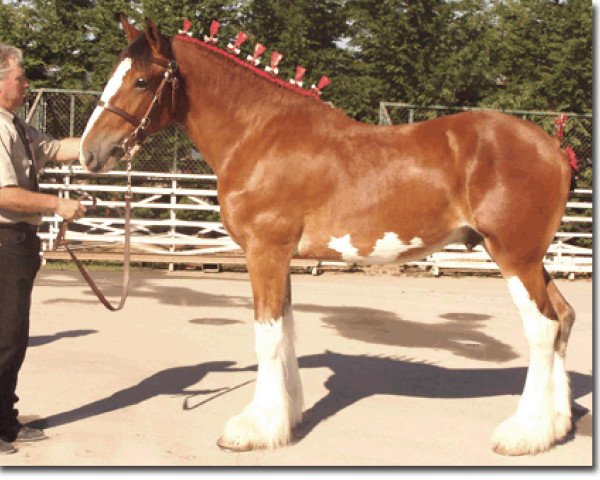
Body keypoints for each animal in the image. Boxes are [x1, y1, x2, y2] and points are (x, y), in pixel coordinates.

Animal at [79, 16, 576, 456]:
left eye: (141, 81)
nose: (89, 153)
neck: (258, 135)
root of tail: (553, 148)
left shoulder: (264, 252)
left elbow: (267, 335)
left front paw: (254, 428)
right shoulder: (281, 257)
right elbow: (286, 329)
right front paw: (287, 417)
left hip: (513, 256)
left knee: (542, 326)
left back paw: (523, 434)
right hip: (533, 260)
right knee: (564, 317)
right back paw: (556, 425)